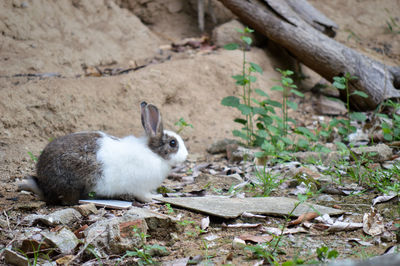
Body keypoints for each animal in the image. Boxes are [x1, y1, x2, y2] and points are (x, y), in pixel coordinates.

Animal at [17, 101, 189, 205]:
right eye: (173, 143)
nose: (186, 155)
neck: (154, 153)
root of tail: (44, 186)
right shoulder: (140, 187)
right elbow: (144, 197)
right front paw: (155, 198)